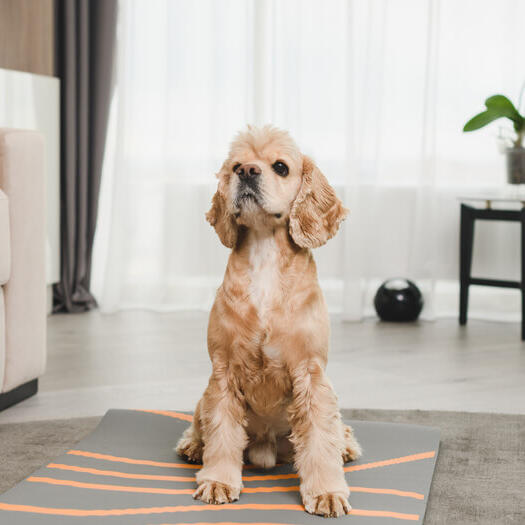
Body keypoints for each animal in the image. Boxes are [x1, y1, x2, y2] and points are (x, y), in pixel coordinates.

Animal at [176, 126, 360, 516]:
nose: (247, 172)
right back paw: (194, 445)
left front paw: (326, 492)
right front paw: (218, 481)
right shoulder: (223, 372)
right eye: (235, 166)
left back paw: (346, 447)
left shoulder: (311, 374)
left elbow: (320, 438)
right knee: (200, 424)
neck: (265, 256)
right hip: (203, 397)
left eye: (280, 167)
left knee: (337, 431)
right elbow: (221, 432)